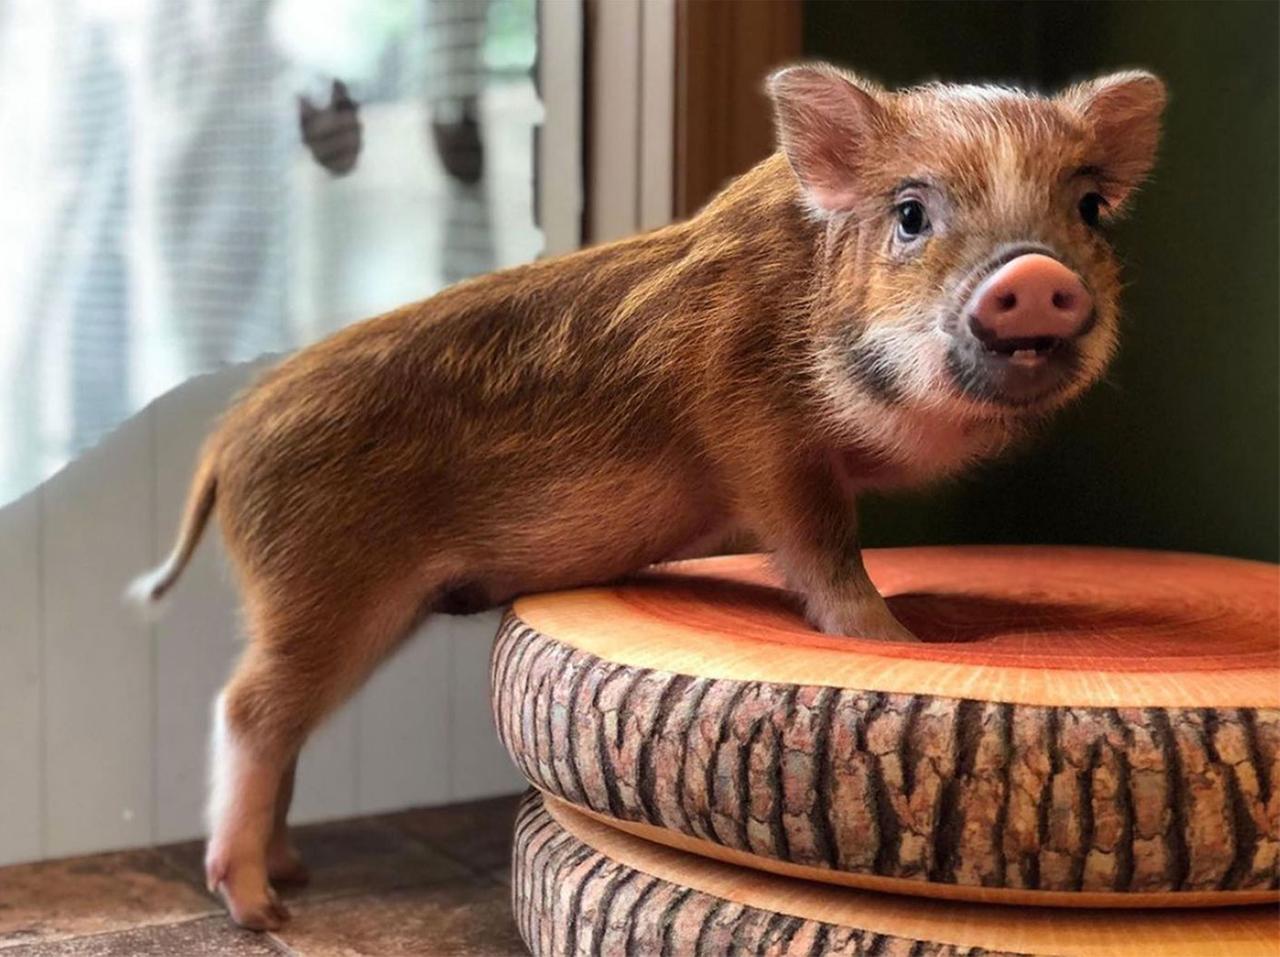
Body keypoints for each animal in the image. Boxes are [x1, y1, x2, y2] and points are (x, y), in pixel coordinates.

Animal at [128, 63, 1165, 929]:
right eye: (911, 213)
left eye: (1088, 207)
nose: (1034, 273)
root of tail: (228, 440)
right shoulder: (761, 439)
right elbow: (822, 546)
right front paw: (897, 639)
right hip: (323, 583)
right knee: (248, 710)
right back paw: (260, 907)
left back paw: (293, 872)